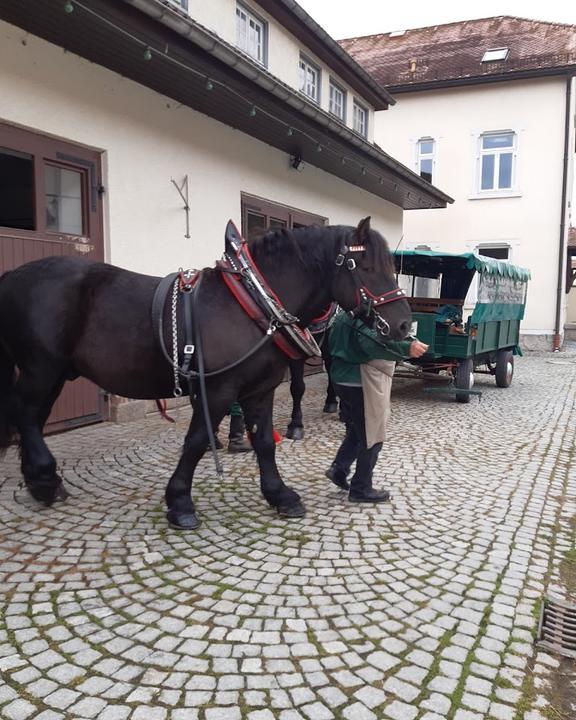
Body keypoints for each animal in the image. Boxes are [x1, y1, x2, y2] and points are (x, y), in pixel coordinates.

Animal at [0, 218, 410, 528]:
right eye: (367, 268)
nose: (404, 325)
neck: (253, 303)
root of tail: (14, 275)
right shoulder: (218, 390)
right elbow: (197, 441)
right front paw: (180, 502)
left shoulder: (259, 389)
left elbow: (264, 442)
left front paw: (280, 495)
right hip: (41, 367)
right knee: (25, 414)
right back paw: (44, 477)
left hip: (55, 373)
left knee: (30, 418)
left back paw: (42, 482)